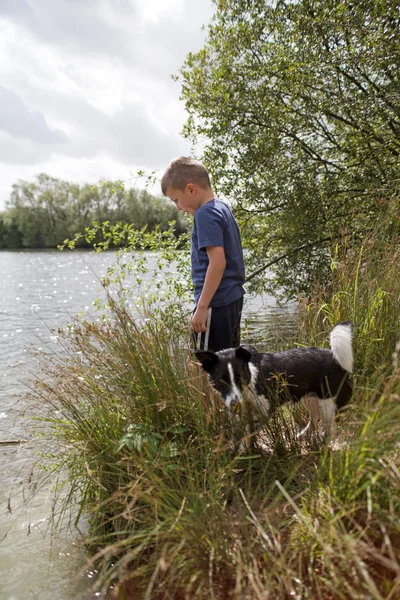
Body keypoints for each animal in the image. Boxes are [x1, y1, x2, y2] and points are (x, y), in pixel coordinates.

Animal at [195, 322, 354, 442]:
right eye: (221, 381)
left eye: (240, 379)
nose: (235, 405)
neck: (251, 381)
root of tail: (334, 357)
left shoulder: (265, 410)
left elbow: (248, 430)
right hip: (310, 397)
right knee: (314, 418)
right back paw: (304, 435)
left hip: (327, 401)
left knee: (330, 428)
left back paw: (324, 446)